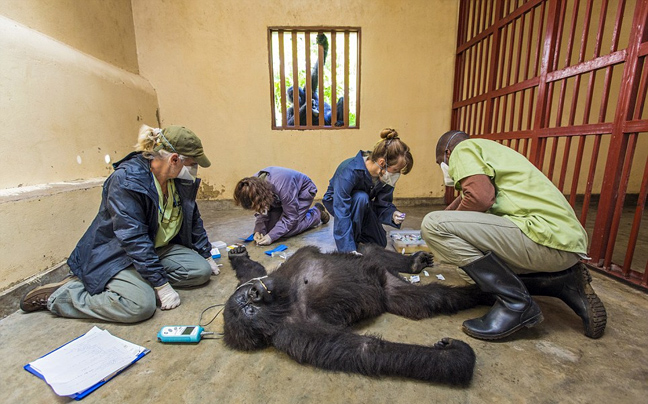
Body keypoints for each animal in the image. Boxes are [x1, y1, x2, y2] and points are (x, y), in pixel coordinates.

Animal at [223, 243, 492, 386]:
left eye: (248, 298)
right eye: (250, 310)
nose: (256, 292)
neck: (286, 295)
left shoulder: (266, 276)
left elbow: (252, 270)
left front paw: (239, 256)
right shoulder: (296, 334)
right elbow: (367, 351)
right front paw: (454, 358)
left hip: (378, 270)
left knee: (369, 249)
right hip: (393, 290)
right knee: (430, 298)